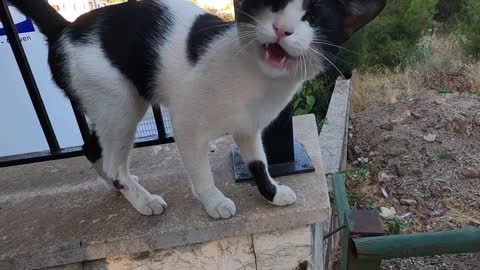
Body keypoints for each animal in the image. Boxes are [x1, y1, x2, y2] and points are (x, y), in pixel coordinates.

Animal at [10, 0, 386, 218]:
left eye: (314, 17)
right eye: (274, 5)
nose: (282, 29)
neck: (257, 77)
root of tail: (67, 28)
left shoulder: (249, 127)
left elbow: (259, 163)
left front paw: (271, 192)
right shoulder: (187, 125)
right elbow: (202, 172)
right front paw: (214, 202)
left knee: (92, 149)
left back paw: (120, 188)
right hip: (122, 105)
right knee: (113, 160)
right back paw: (140, 198)